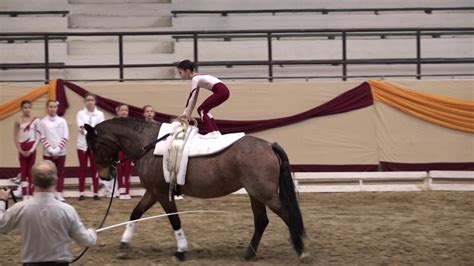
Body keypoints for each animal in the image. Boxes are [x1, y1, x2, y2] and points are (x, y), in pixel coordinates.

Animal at [85, 117, 308, 262]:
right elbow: (135, 214)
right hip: (255, 193)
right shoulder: (152, 192)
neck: (149, 145)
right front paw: (124, 246)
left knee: (287, 215)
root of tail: (269, 145)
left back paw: (301, 250)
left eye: (95, 147)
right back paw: (249, 253)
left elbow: (175, 220)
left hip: (265, 194)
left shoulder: (161, 193)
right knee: (261, 221)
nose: (105, 175)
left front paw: (181, 251)